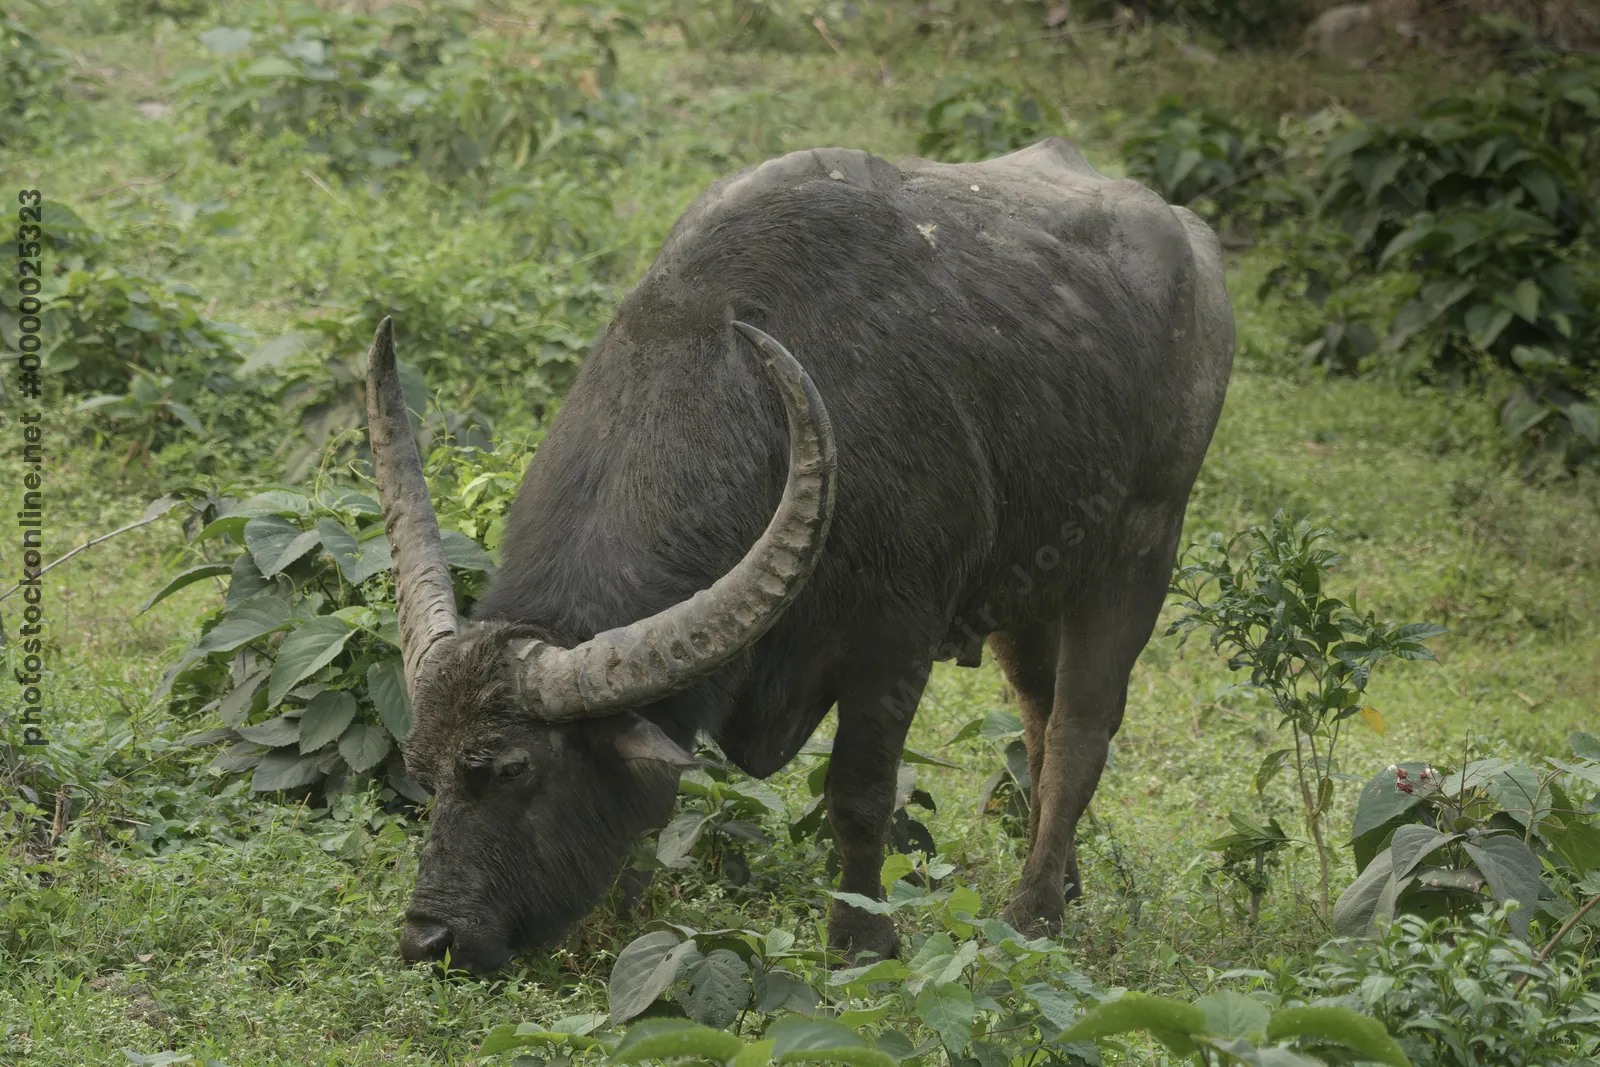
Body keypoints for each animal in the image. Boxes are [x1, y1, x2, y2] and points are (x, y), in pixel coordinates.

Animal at [370, 138, 1233, 973]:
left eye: (513, 768)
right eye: (423, 767)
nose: (429, 939)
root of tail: (1192, 242)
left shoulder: (896, 637)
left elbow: (859, 792)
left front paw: (862, 939)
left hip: (1142, 546)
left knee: (1083, 724)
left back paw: (1036, 910)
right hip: (1036, 584)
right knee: (1038, 708)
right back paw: (1064, 877)